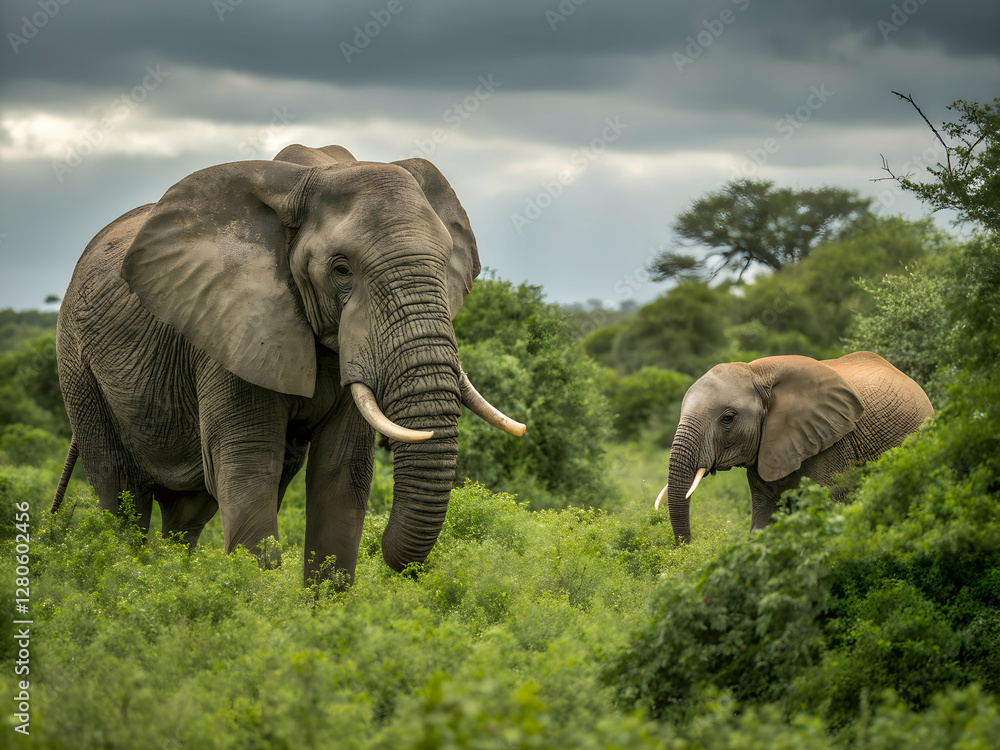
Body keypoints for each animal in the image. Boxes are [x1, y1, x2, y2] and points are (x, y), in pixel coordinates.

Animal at [51, 143, 525, 586]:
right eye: (341, 269)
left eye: (445, 264)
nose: (389, 555)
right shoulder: (230, 329)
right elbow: (248, 469)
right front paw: (257, 604)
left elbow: (342, 475)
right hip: (78, 366)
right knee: (120, 495)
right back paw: (128, 577)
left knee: (186, 513)